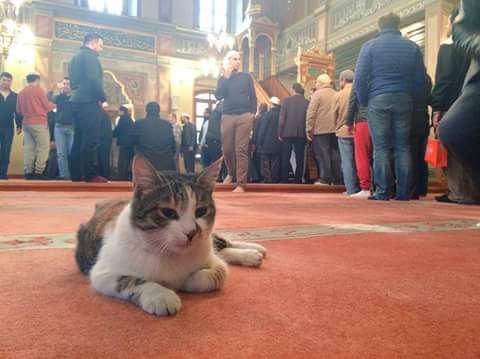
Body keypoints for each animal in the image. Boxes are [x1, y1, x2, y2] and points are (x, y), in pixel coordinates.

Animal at [77, 156, 268, 316]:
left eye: (201, 211)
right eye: (168, 212)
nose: (192, 232)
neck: (172, 254)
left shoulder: (210, 257)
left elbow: (217, 273)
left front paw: (185, 281)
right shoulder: (102, 272)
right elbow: (130, 280)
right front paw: (160, 295)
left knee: (221, 244)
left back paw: (253, 250)